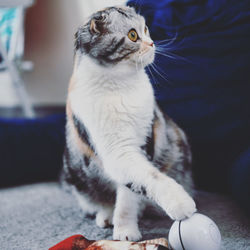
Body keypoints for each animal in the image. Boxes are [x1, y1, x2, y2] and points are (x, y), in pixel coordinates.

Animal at [61, 5, 197, 240]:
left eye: (146, 29)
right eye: (133, 35)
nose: (152, 43)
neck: (121, 85)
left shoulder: (147, 137)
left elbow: (129, 196)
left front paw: (125, 229)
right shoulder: (117, 152)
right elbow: (147, 177)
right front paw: (181, 204)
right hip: (73, 169)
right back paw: (105, 215)